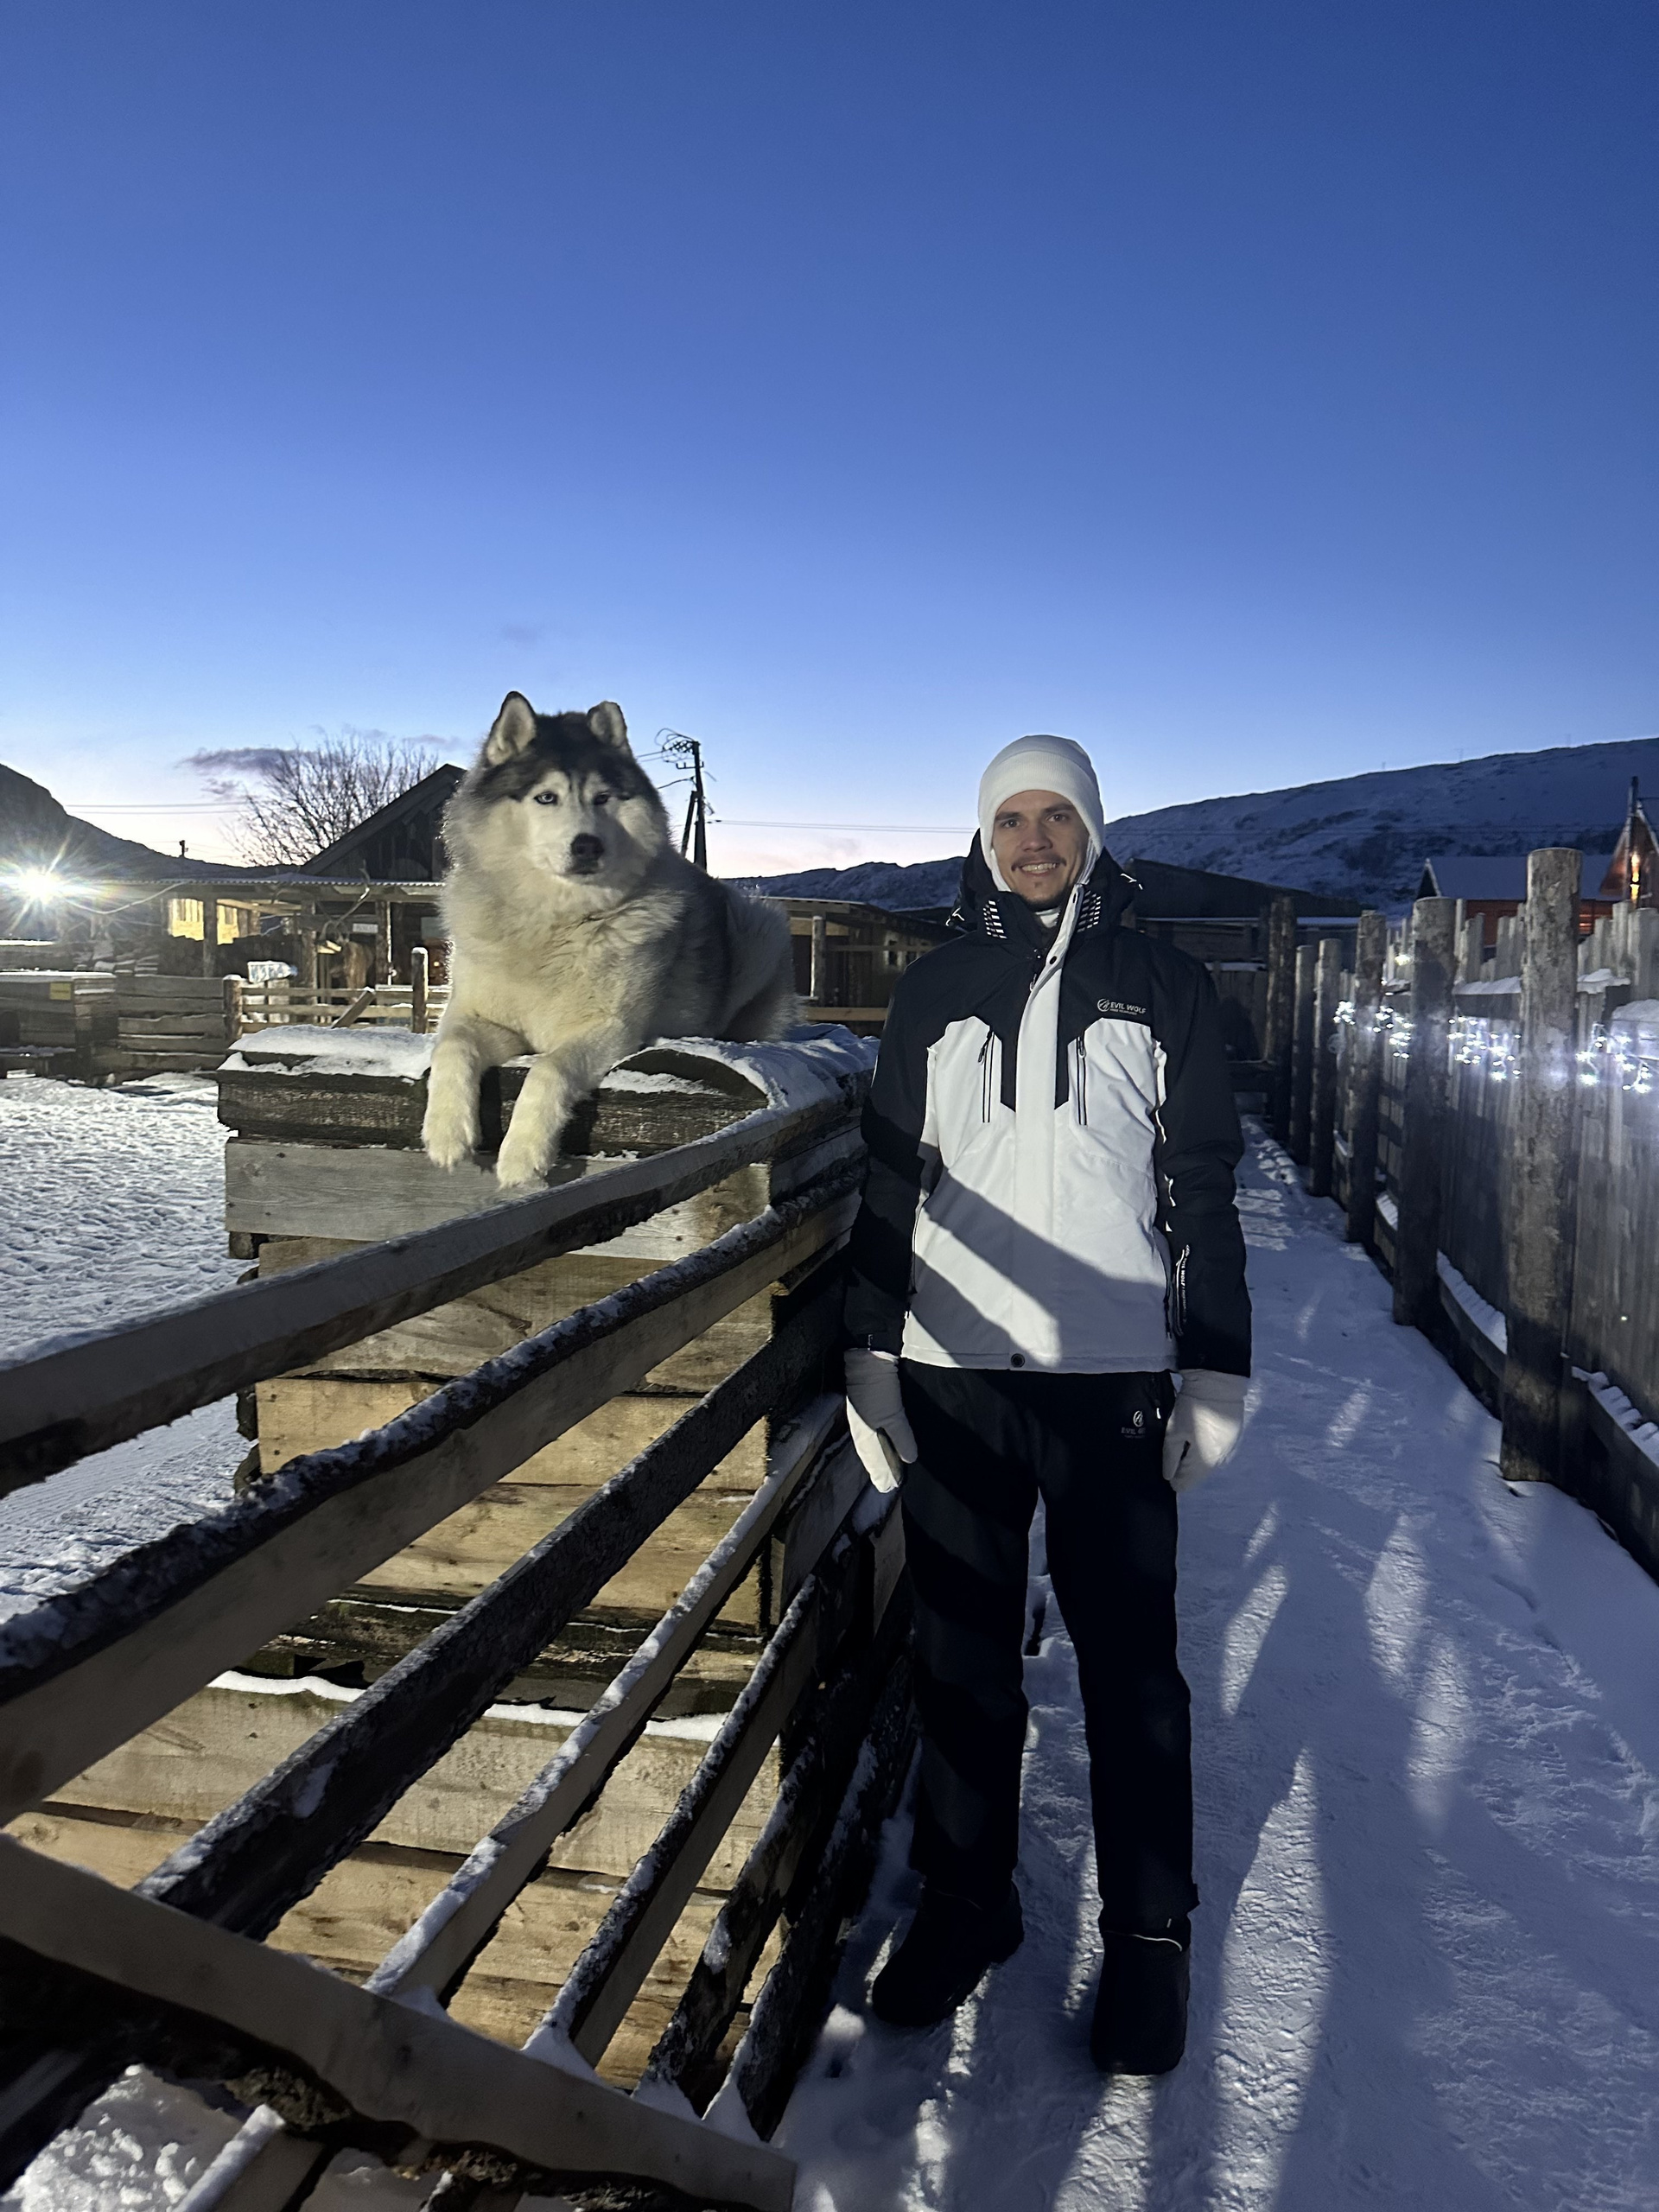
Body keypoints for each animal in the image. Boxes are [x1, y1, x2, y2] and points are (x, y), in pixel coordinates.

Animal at [422, 692, 798, 1186]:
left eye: (602, 799)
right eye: (547, 797)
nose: (587, 845)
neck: (556, 923)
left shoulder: (611, 1029)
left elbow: (548, 1069)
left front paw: (522, 1156)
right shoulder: (481, 1016)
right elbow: (452, 1047)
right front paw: (447, 1134)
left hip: (758, 927)